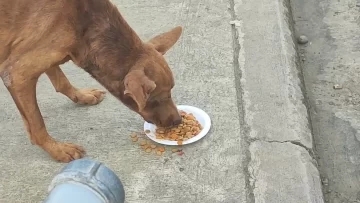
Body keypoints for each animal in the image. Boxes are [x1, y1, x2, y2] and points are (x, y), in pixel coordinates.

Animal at [0, 0, 183, 162]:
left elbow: (60, 80)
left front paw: (82, 96)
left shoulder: (43, 54)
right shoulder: (17, 74)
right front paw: (58, 149)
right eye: (157, 98)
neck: (85, 22)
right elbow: (37, 124)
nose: (178, 121)